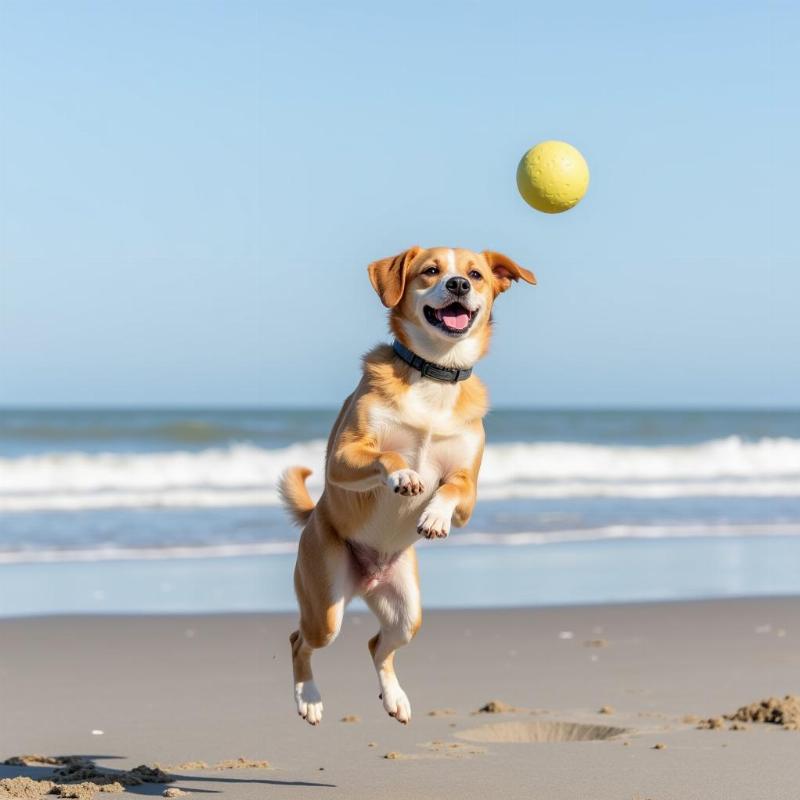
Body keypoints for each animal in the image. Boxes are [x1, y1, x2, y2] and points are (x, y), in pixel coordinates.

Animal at [278, 245, 536, 724]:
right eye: (431, 271)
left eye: (475, 274)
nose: (459, 284)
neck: (435, 373)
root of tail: (367, 578)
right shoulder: (343, 457)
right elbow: (391, 455)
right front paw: (406, 475)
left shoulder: (469, 489)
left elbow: (451, 488)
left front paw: (434, 515)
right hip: (326, 606)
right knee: (301, 640)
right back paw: (309, 698)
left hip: (407, 613)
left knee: (377, 644)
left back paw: (395, 698)